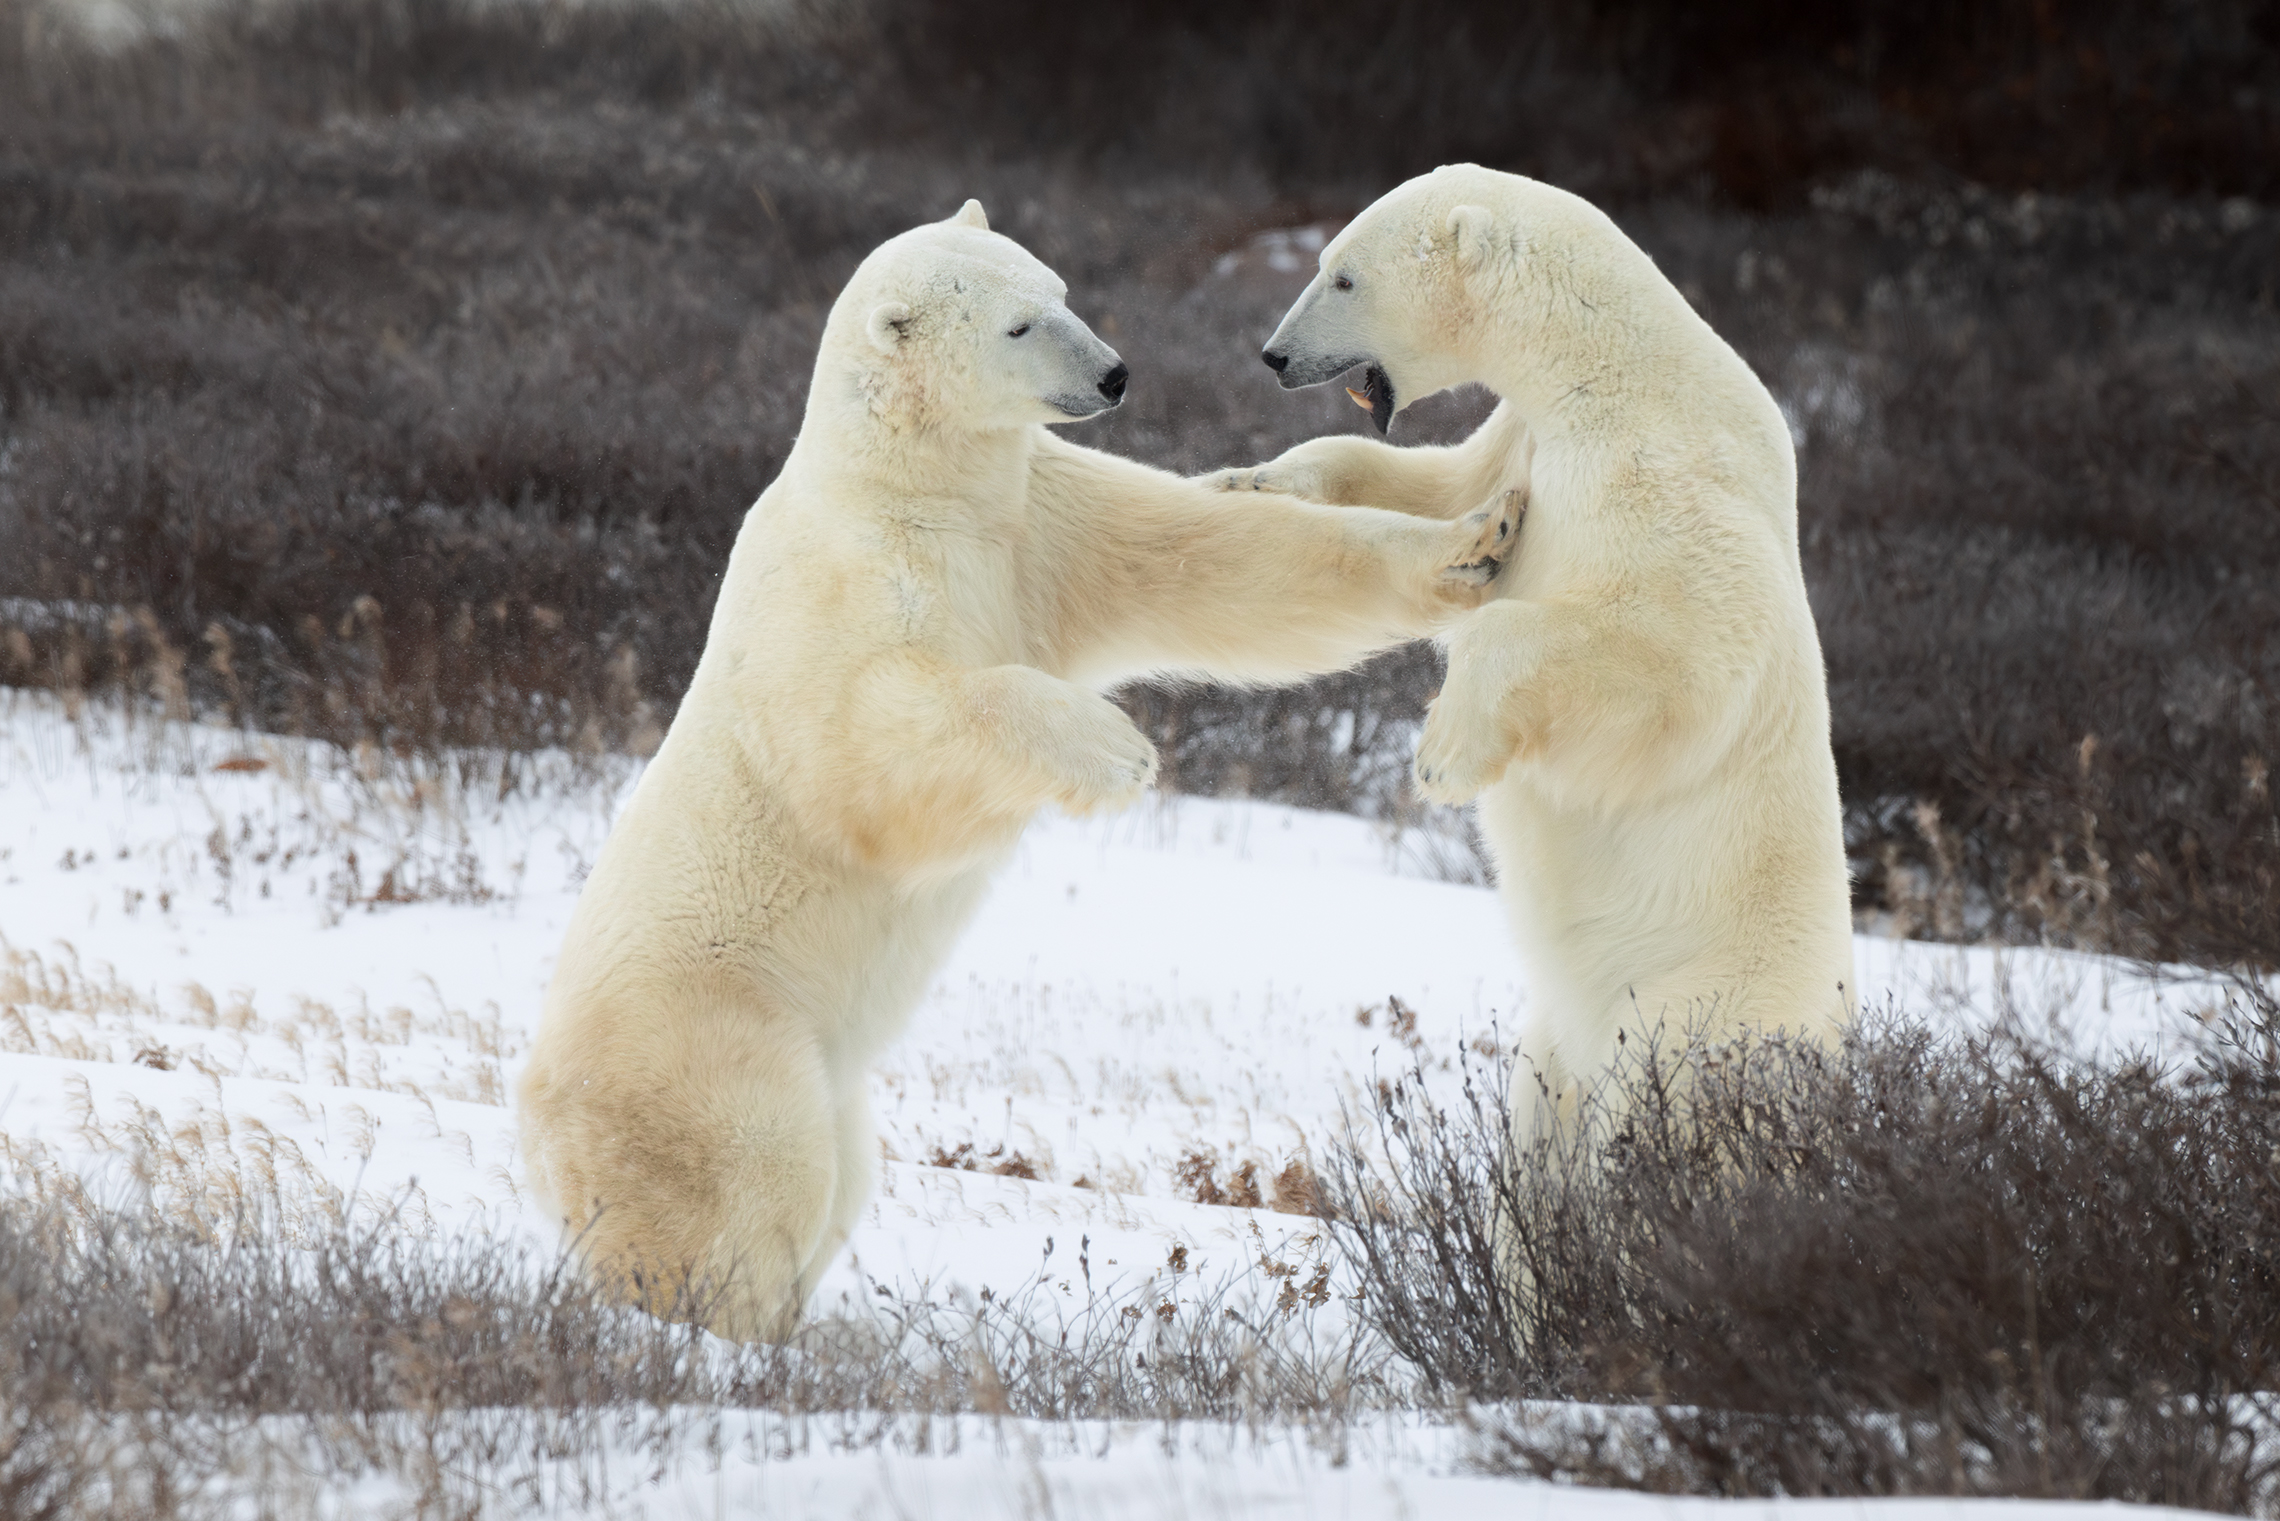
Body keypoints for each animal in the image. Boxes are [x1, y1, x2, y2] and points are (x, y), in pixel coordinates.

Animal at [517, 196, 1513, 1340]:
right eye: (1019, 325)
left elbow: (1219, 553)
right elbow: (873, 755)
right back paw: (731, 1327)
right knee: (749, 1183)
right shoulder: (847, 595)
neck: (908, 490)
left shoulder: (1040, 520)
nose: (1117, 375)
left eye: (1061, 292)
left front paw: (1472, 538)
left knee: (841, 1175)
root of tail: (533, 1128)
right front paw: (1116, 748)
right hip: (707, 1037)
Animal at [1222, 169, 1860, 1140]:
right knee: (1540, 1129)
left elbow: (1679, 660)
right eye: (1325, 260)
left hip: (1702, 1009)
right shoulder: (1519, 437)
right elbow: (1445, 490)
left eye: (1344, 277)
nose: (1273, 355)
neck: (1609, 375)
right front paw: (1255, 480)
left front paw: (1443, 754)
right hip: (1557, 1041)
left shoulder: (1669, 485)